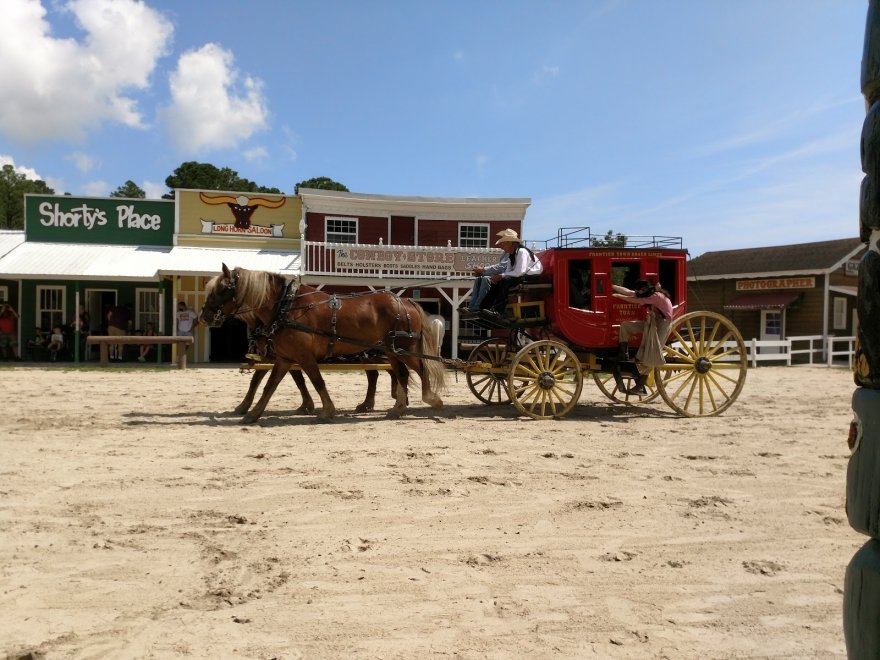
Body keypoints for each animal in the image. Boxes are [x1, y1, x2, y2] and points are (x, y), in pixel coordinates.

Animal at [201, 264, 446, 422]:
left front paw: (326, 410)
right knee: (401, 374)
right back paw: (398, 408)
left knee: (422, 368)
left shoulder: (303, 356)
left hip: (405, 348)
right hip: (392, 350)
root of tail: (406, 300)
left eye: (221, 290)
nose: (204, 316)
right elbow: (270, 384)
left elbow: (316, 381)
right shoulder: (284, 357)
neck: (287, 307)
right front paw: (253, 412)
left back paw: (430, 399)